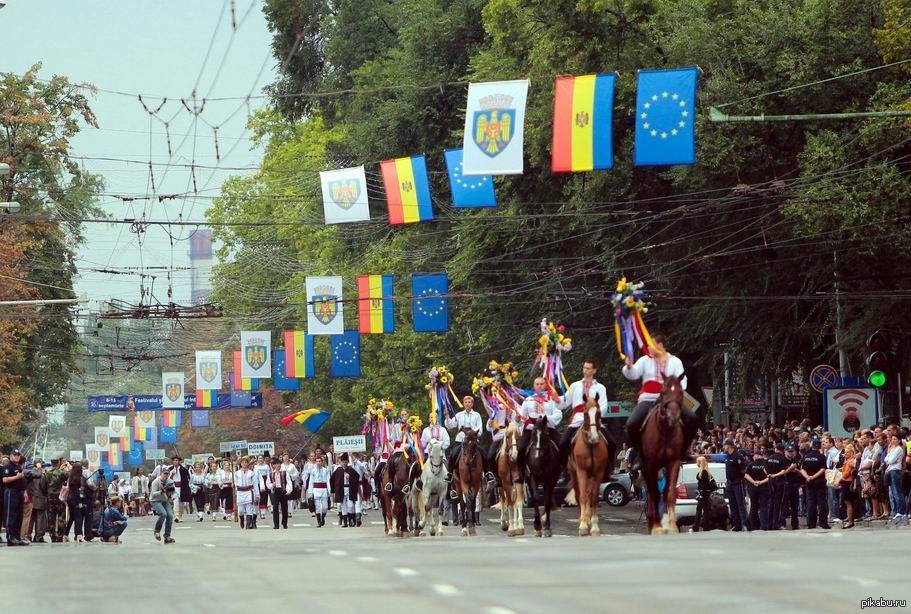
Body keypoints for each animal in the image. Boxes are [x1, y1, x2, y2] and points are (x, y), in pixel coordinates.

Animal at [568, 398, 612, 536]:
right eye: (585, 413)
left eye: (598, 413)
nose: (594, 438)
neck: (590, 445)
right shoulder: (581, 471)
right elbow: (582, 496)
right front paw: (583, 526)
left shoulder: (598, 472)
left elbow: (593, 498)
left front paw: (594, 527)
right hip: (574, 474)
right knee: (579, 494)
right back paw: (583, 519)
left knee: (589, 494)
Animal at [636, 372, 688, 536]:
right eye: (663, 392)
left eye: (681, 392)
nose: (673, 416)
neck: (665, 431)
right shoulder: (651, 464)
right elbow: (654, 493)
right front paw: (657, 526)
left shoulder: (674, 462)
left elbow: (670, 493)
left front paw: (671, 526)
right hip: (646, 467)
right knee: (651, 492)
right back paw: (653, 523)